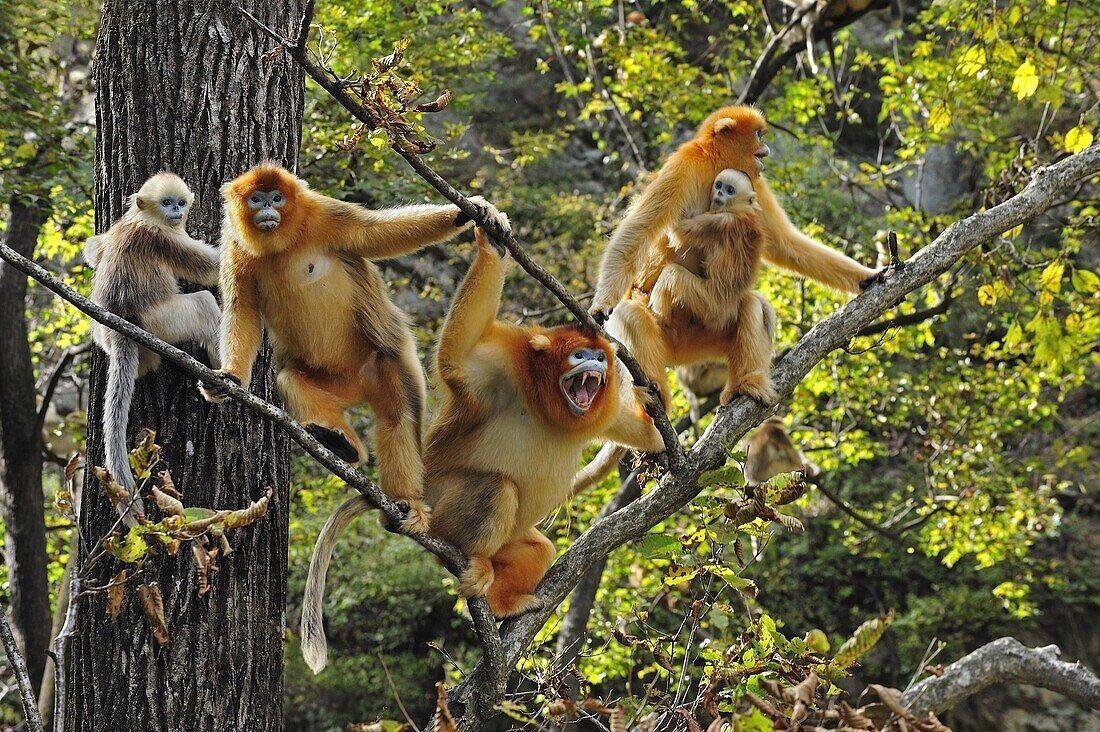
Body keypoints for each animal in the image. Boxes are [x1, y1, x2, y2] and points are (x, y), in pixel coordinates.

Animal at [83, 173, 221, 521]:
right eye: (167, 203)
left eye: (181, 202)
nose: (177, 211)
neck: (142, 218)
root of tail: (122, 322)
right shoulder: (165, 237)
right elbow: (214, 269)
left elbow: (94, 249)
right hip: (164, 321)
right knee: (204, 303)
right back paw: (221, 383)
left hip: (103, 331)